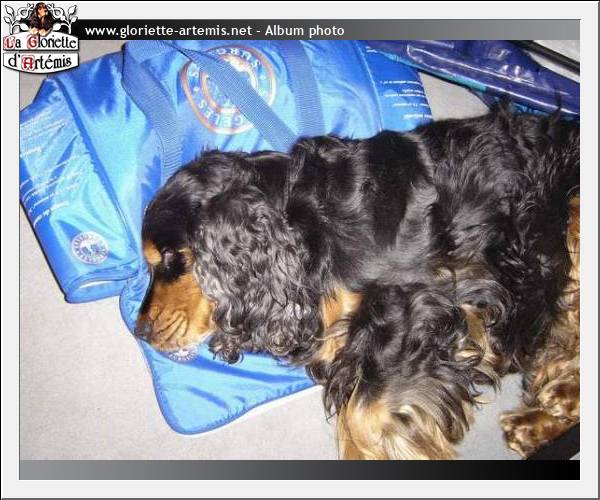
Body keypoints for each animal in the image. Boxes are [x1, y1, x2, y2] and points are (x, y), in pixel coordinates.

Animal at [136, 105, 580, 459]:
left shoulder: (418, 299)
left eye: (172, 259)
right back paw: (538, 420)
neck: (305, 222)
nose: (140, 330)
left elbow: (364, 413)